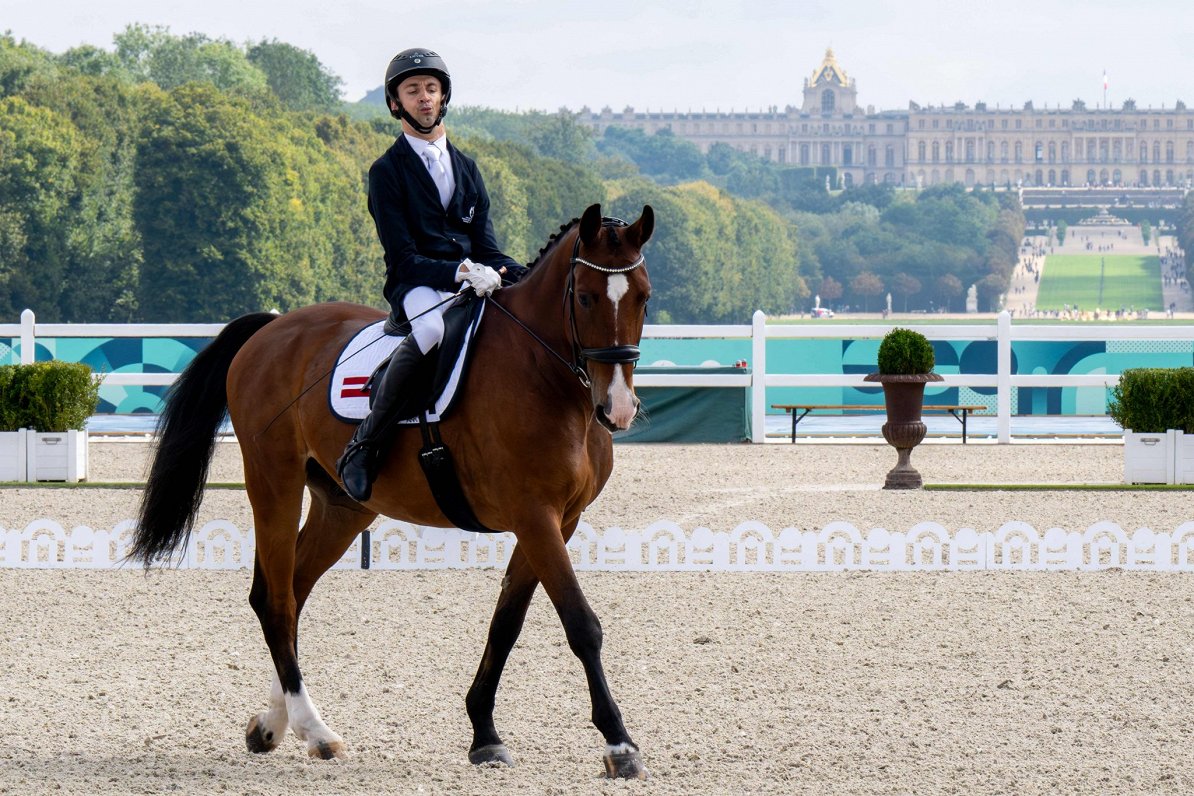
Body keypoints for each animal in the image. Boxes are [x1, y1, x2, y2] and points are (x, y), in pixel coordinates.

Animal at [129, 204, 654, 778]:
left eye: (643, 297)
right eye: (584, 296)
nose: (618, 409)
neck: (547, 379)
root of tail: (272, 329)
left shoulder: (559, 520)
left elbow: (506, 624)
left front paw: (484, 734)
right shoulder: (534, 515)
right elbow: (581, 624)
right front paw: (619, 744)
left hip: (343, 508)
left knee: (293, 591)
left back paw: (271, 725)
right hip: (273, 483)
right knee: (277, 601)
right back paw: (316, 731)